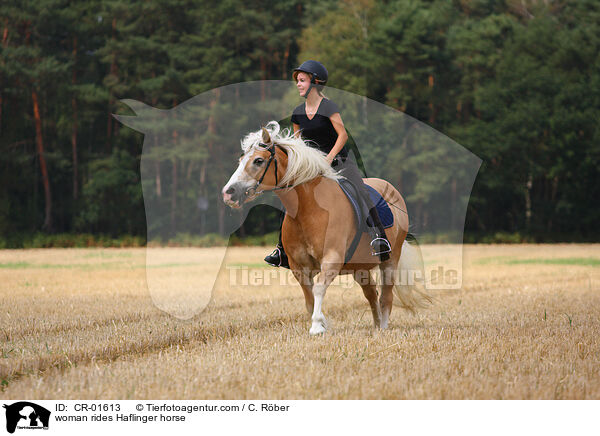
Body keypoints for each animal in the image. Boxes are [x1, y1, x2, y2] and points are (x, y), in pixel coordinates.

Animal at [223, 121, 428, 336]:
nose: (228, 193)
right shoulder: (299, 267)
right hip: (359, 266)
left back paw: (384, 327)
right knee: (372, 293)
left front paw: (316, 326)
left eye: (258, 161)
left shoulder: (332, 258)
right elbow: (309, 298)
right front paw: (321, 323)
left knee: (386, 295)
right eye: (241, 160)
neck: (308, 208)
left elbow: (319, 288)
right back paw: (377, 325)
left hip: (390, 259)